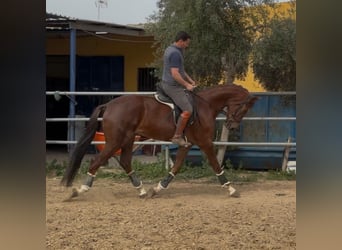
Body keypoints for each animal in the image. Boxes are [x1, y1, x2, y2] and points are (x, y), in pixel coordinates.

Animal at [61, 84, 258, 199]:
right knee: (97, 161)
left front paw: (157, 188)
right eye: (244, 108)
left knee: (125, 161)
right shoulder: (205, 142)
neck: (206, 105)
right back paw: (79, 190)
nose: (231, 126)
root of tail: (109, 105)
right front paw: (231, 189)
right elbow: (216, 165)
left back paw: (141, 190)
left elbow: (176, 168)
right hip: (115, 141)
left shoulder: (187, 144)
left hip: (128, 140)